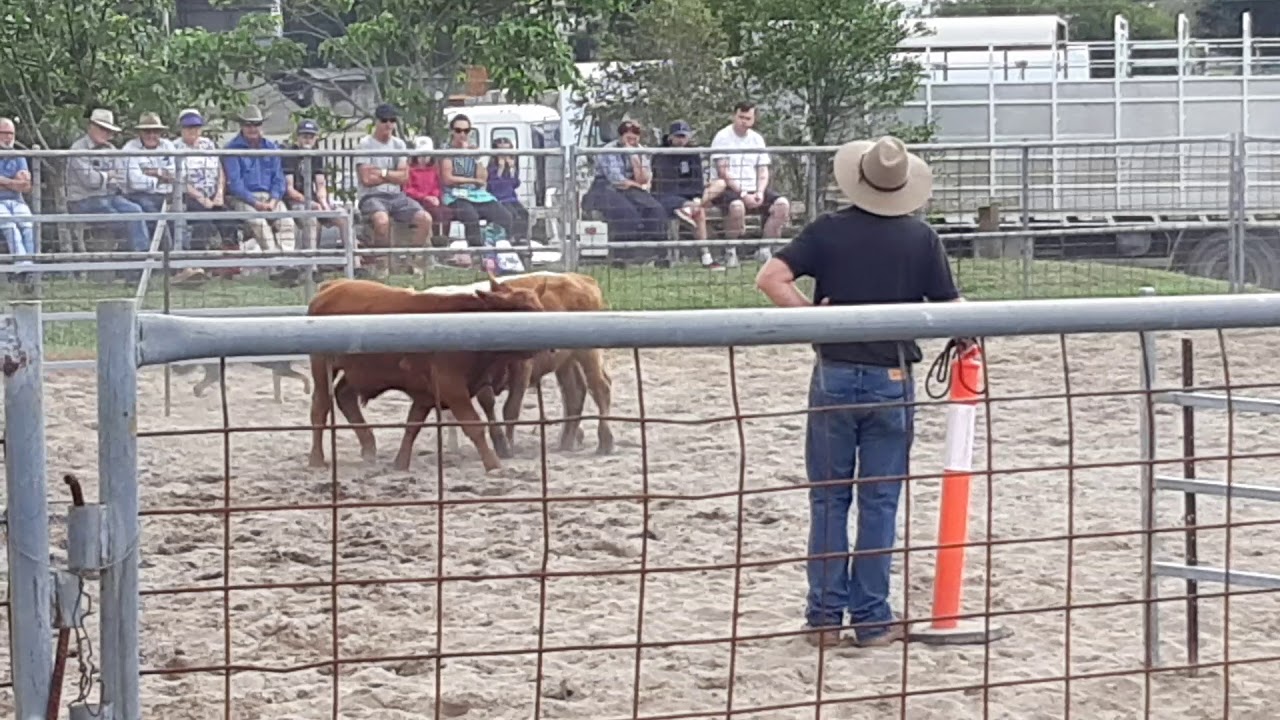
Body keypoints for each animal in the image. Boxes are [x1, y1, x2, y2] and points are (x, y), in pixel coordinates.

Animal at [305, 274, 547, 472]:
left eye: (539, 306)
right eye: (523, 310)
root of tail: (331, 286)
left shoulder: (425, 393)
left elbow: (412, 427)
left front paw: (401, 463)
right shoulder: (452, 388)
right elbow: (474, 426)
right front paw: (493, 465)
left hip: (360, 372)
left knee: (344, 395)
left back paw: (369, 447)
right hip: (322, 363)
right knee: (321, 406)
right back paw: (317, 459)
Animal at [421, 270, 615, 456]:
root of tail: (581, 278)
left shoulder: (522, 370)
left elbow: (510, 409)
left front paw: (508, 445)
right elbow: (487, 403)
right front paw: (499, 443)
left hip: (587, 352)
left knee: (600, 387)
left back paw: (605, 441)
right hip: (566, 361)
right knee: (574, 392)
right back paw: (566, 442)